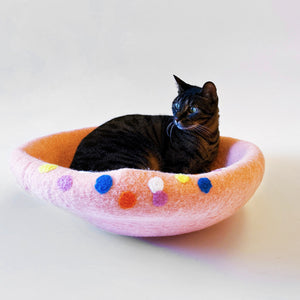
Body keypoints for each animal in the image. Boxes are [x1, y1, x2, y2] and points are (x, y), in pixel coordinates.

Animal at [70, 74, 220, 173]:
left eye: (192, 109)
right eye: (176, 106)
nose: (176, 119)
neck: (208, 137)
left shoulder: (206, 165)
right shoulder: (176, 167)